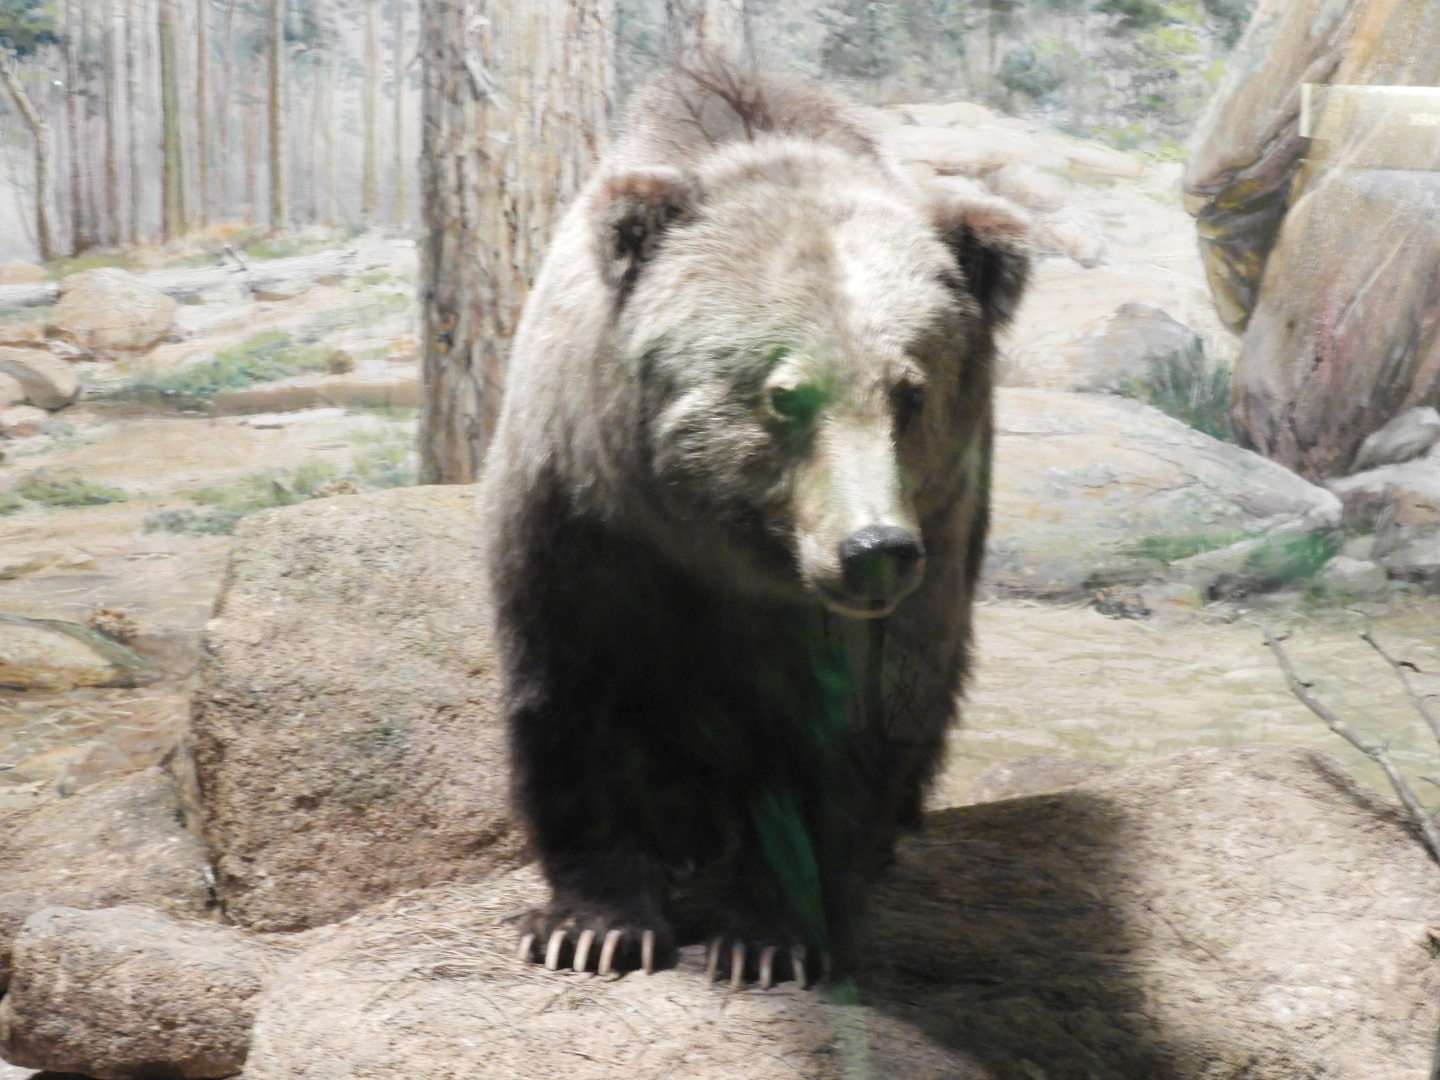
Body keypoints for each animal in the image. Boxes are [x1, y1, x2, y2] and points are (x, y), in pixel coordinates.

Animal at [478, 65, 1030, 987]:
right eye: (785, 394)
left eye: (910, 391)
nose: (874, 550)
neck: (731, 549)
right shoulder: (585, 523)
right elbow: (575, 697)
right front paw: (593, 927)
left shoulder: (903, 571)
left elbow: (841, 734)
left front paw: (773, 938)